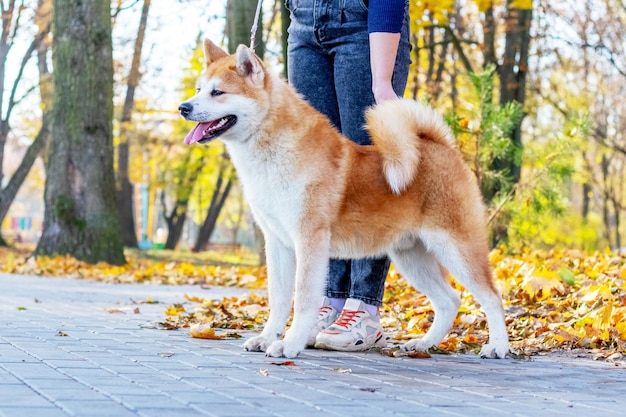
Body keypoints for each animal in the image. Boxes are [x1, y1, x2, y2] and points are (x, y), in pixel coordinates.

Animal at [179, 38, 508, 358]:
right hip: (411, 256)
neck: (273, 151)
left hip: (456, 248)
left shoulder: (309, 239)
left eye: (218, 92)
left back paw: (498, 347)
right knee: (449, 300)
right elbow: (279, 299)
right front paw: (266, 337)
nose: (183, 107)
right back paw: (423, 344)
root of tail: (441, 146)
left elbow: (303, 298)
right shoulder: (277, 242)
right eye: (198, 90)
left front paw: (290, 344)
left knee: (491, 296)